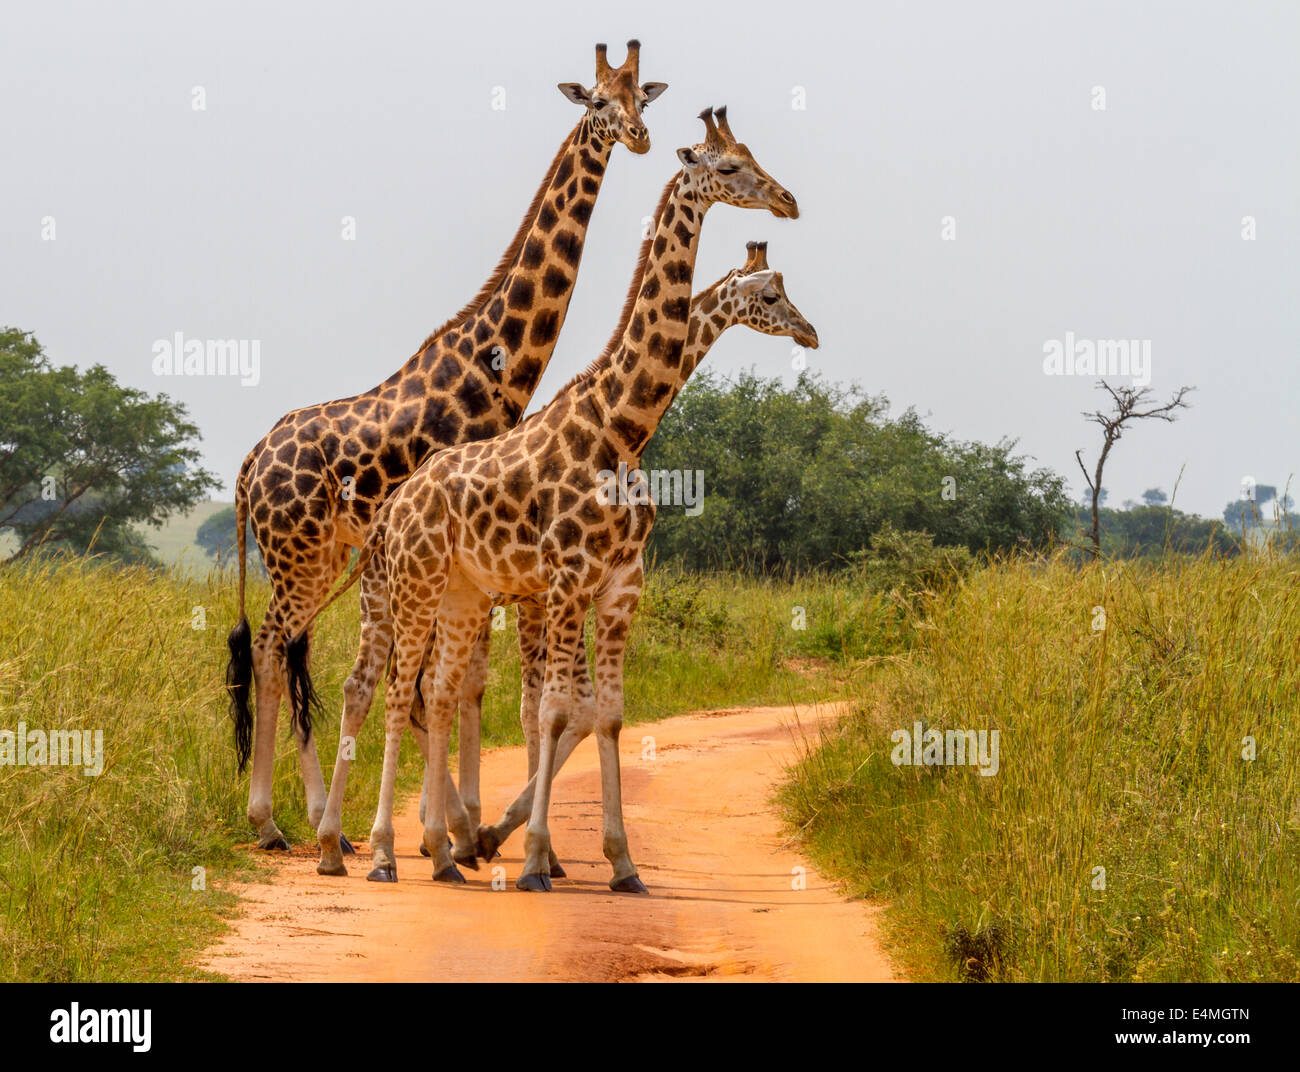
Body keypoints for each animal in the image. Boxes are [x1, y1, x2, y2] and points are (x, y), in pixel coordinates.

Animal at [223, 39, 665, 847]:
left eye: (640, 98)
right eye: (597, 101)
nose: (639, 138)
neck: (496, 364)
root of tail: (247, 466)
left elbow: (459, 680)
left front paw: (458, 823)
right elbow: (454, 681)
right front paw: (456, 826)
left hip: (319, 558)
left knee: (290, 648)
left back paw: (313, 817)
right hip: (299, 555)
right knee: (272, 647)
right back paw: (271, 821)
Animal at [314, 104, 800, 883]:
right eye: (729, 167)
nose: (787, 200)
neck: (621, 425)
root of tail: (393, 508)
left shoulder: (615, 582)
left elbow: (596, 710)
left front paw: (609, 859)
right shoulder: (559, 583)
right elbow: (548, 708)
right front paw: (531, 852)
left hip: (456, 595)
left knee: (432, 691)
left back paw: (434, 847)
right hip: (401, 593)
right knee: (384, 689)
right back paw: (371, 846)